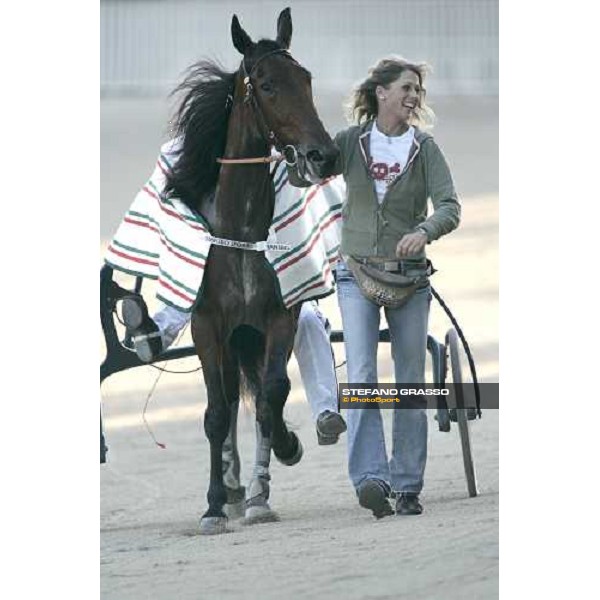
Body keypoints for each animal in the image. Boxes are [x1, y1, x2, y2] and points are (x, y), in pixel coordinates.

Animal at [164, 8, 340, 536]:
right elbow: (216, 412)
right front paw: (213, 506)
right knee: (224, 396)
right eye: (265, 84)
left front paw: (266, 485)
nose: (324, 154)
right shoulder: (208, 324)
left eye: (306, 78)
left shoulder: (278, 316)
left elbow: (271, 396)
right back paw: (230, 483)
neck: (241, 230)